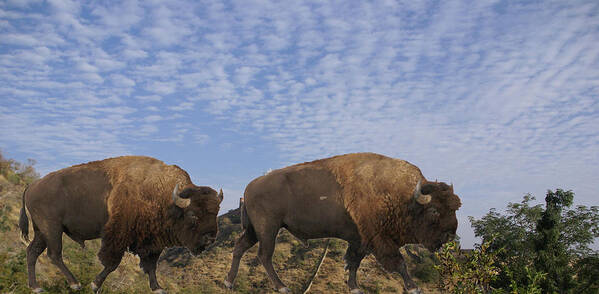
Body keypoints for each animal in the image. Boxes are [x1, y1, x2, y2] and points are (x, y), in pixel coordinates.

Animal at [20, 155, 225, 292]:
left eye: (215, 213)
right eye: (193, 215)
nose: (210, 239)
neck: (163, 196)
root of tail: (32, 185)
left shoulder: (152, 243)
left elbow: (151, 266)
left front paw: (157, 288)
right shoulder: (118, 236)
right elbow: (112, 263)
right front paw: (94, 285)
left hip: (42, 231)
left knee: (32, 252)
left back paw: (35, 287)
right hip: (52, 228)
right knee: (54, 254)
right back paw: (75, 283)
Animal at [226, 153, 464, 292]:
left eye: (454, 209)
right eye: (434, 210)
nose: (450, 235)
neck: (401, 196)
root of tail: (250, 186)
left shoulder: (360, 240)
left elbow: (353, 263)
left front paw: (354, 287)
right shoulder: (378, 239)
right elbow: (399, 262)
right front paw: (413, 287)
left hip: (254, 230)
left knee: (240, 247)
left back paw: (229, 282)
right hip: (268, 228)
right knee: (264, 255)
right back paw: (282, 287)